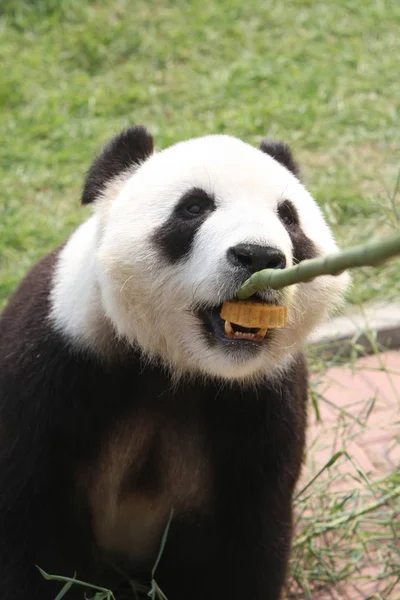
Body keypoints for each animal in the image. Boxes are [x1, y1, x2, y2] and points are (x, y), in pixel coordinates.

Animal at [0, 124, 350, 596]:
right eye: (194, 207)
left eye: (288, 217)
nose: (260, 255)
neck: (177, 364)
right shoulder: (54, 365)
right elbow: (33, 529)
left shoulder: (263, 401)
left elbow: (248, 537)